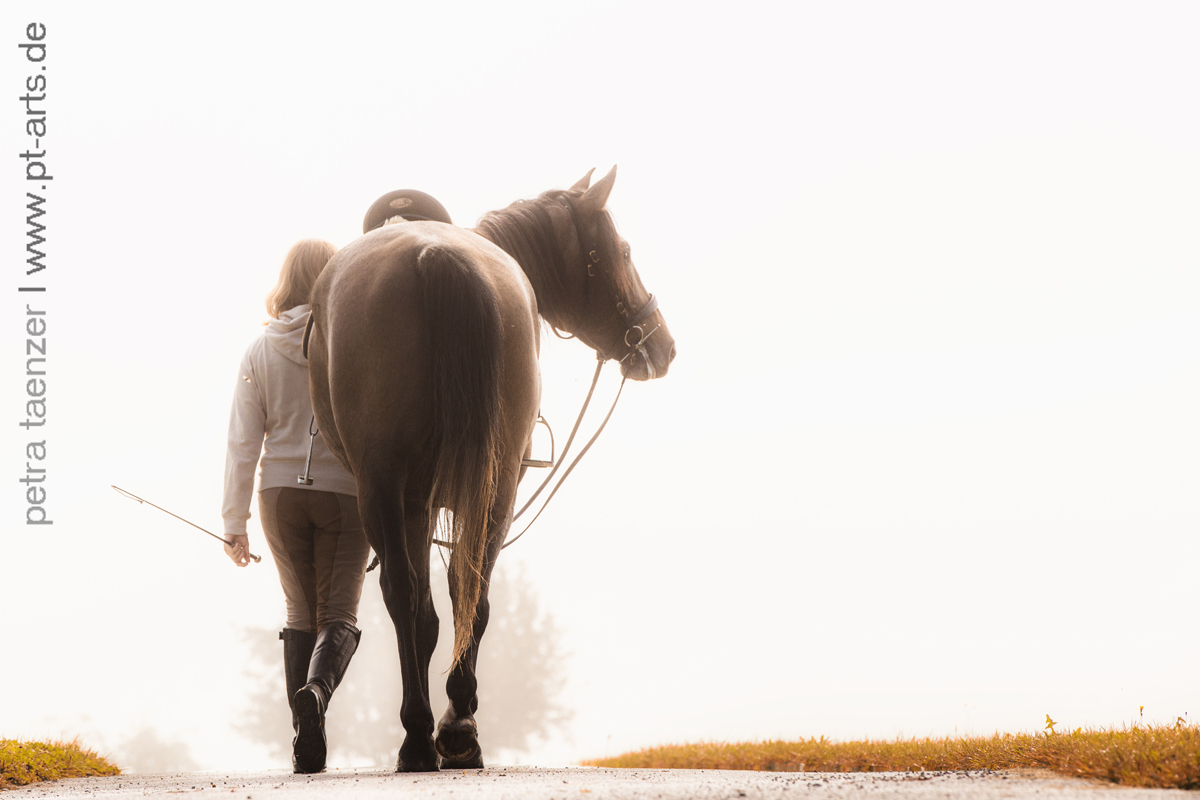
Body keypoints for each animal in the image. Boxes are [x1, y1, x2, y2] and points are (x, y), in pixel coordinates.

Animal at [304, 167, 676, 767]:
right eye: (622, 250)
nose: (662, 345)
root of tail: (435, 254)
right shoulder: (424, 500)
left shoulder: (416, 501)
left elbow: (428, 611)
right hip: (482, 486)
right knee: (458, 589)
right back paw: (446, 729)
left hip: (403, 488)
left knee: (419, 592)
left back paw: (430, 732)